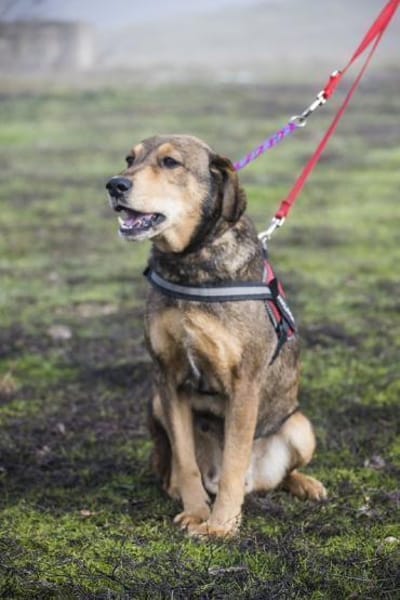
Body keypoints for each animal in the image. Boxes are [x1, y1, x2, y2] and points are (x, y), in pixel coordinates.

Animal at [106, 134, 326, 538]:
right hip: (156, 402)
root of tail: (259, 481)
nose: (115, 185)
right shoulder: (168, 378)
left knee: (275, 476)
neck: (189, 263)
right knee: (175, 464)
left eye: (171, 163)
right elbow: (185, 459)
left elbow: (233, 463)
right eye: (130, 159)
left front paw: (222, 525)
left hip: (301, 426)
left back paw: (305, 484)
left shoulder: (244, 384)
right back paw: (177, 488)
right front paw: (197, 513)